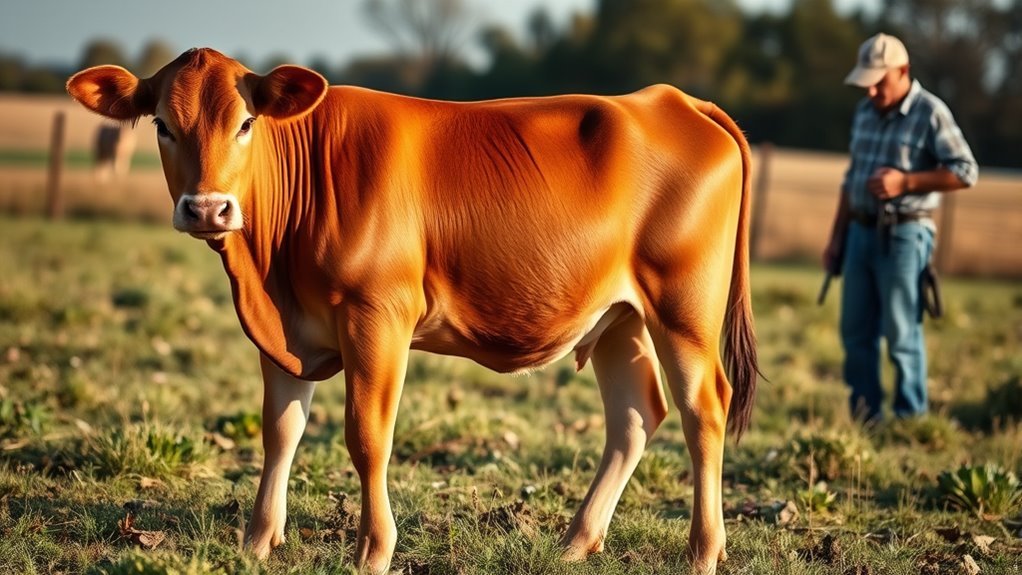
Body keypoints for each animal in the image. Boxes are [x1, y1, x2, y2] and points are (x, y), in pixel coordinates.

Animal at [67, 48, 758, 574]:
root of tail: (671, 99)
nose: (208, 208)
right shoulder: (286, 333)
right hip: (618, 315)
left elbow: (367, 435)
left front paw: (373, 550)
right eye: (161, 124)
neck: (266, 272)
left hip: (683, 310)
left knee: (704, 409)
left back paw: (703, 552)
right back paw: (574, 544)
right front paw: (257, 543)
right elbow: (280, 430)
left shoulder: (378, 316)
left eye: (245, 123)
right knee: (636, 413)